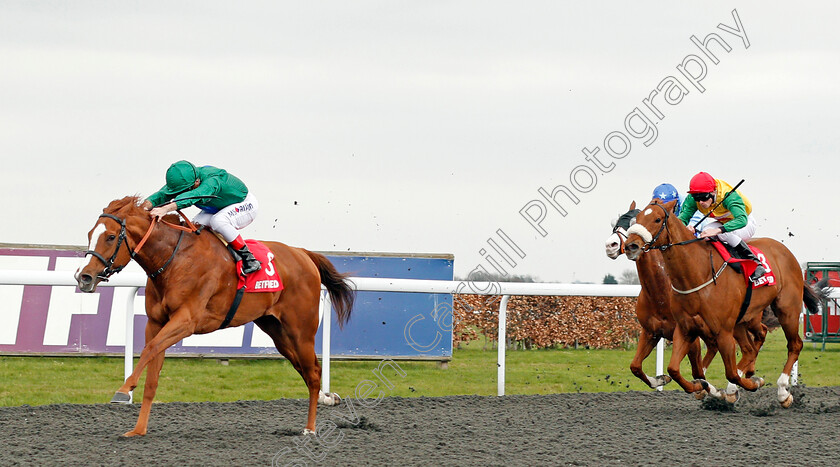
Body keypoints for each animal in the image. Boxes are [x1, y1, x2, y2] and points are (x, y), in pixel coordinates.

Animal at [75, 196, 354, 436]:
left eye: (111, 237)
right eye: (90, 234)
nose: (84, 277)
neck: (174, 260)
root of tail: (303, 253)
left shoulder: (186, 321)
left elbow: (149, 349)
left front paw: (123, 390)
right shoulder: (156, 323)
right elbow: (152, 372)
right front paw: (138, 430)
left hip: (301, 331)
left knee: (313, 373)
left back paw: (311, 428)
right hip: (278, 333)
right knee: (306, 371)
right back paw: (326, 402)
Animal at [628, 199, 824, 408]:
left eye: (657, 219)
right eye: (637, 219)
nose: (631, 245)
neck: (698, 274)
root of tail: (787, 253)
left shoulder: (721, 332)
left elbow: (729, 372)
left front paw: (749, 384)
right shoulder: (684, 329)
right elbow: (673, 369)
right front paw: (697, 385)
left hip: (787, 310)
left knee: (794, 345)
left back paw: (782, 392)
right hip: (741, 321)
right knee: (750, 348)